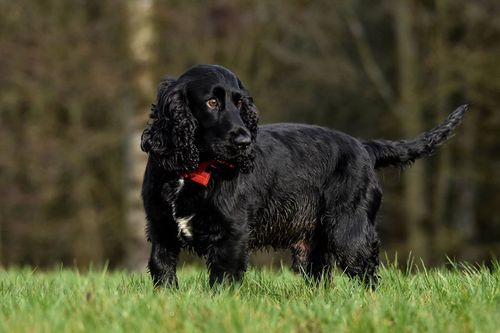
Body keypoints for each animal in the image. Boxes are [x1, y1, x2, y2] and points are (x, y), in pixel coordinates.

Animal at [140, 64, 464, 286]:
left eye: (241, 102)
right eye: (211, 102)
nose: (244, 141)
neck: (191, 170)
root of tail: (363, 146)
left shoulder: (231, 235)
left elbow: (222, 282)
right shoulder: (161, 232)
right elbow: (163, 273)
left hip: (348, 231)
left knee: (367, 275)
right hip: (313, 245)